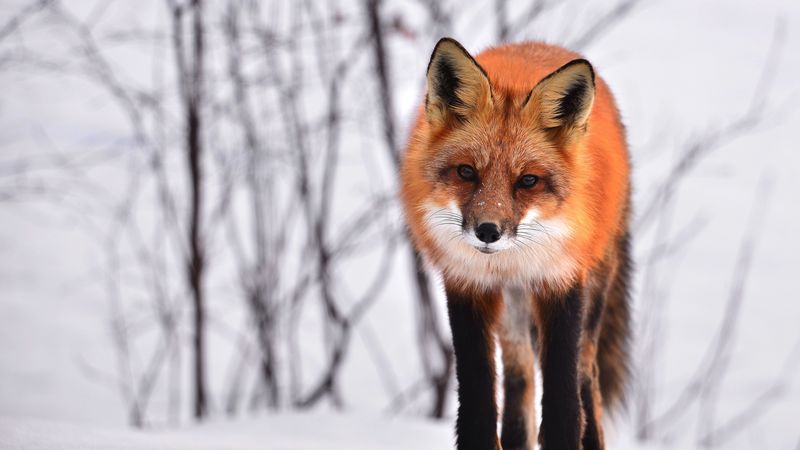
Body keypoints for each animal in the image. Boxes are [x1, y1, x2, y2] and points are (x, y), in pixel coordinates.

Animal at [400, 38, 631, 450]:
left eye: (527, 181)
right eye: (466, 172)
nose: (488, 231)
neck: (510, 261)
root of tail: (537, 43)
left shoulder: (561, 284)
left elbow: (564, 408)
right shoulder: (467, 285)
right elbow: (478, 405)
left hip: (592, 299)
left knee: (586, 378)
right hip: (512, 316)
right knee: (519, 380)